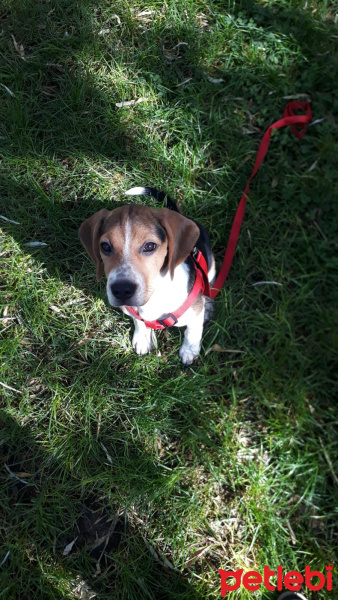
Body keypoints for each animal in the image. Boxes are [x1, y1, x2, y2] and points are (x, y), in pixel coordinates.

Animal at [79, 190, 215, 364]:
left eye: (150, 246)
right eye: (105, 246)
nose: (122, 290)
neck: (155, 296)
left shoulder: (194, 314)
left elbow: (193, 331)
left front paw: (189, 351)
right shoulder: (132, 310)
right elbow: (139, 321)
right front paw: (143, 338)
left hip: (211, 266)